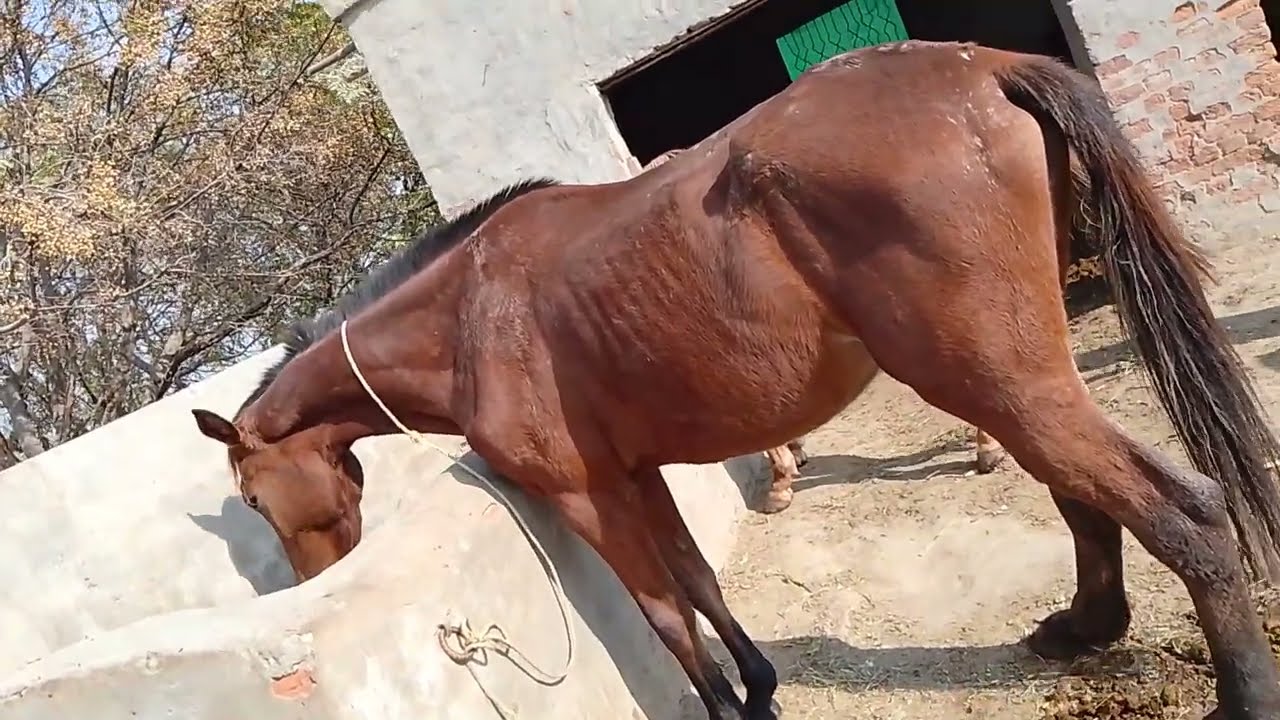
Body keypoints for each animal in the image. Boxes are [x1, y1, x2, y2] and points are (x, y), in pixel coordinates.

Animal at [192, 41, 1280, 720]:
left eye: (254, 496)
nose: (313, 579)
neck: (469, 312)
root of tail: (982, 66)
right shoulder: (635, 476)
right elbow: (699, 581)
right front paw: (756, 686)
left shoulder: (585, 495)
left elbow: (664, 612)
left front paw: (722, 701)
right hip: (1006, 381)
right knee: (1084, 500)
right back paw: (1079, 630)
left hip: (1001, 381)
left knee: (1182, 512)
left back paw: (1239, 690)